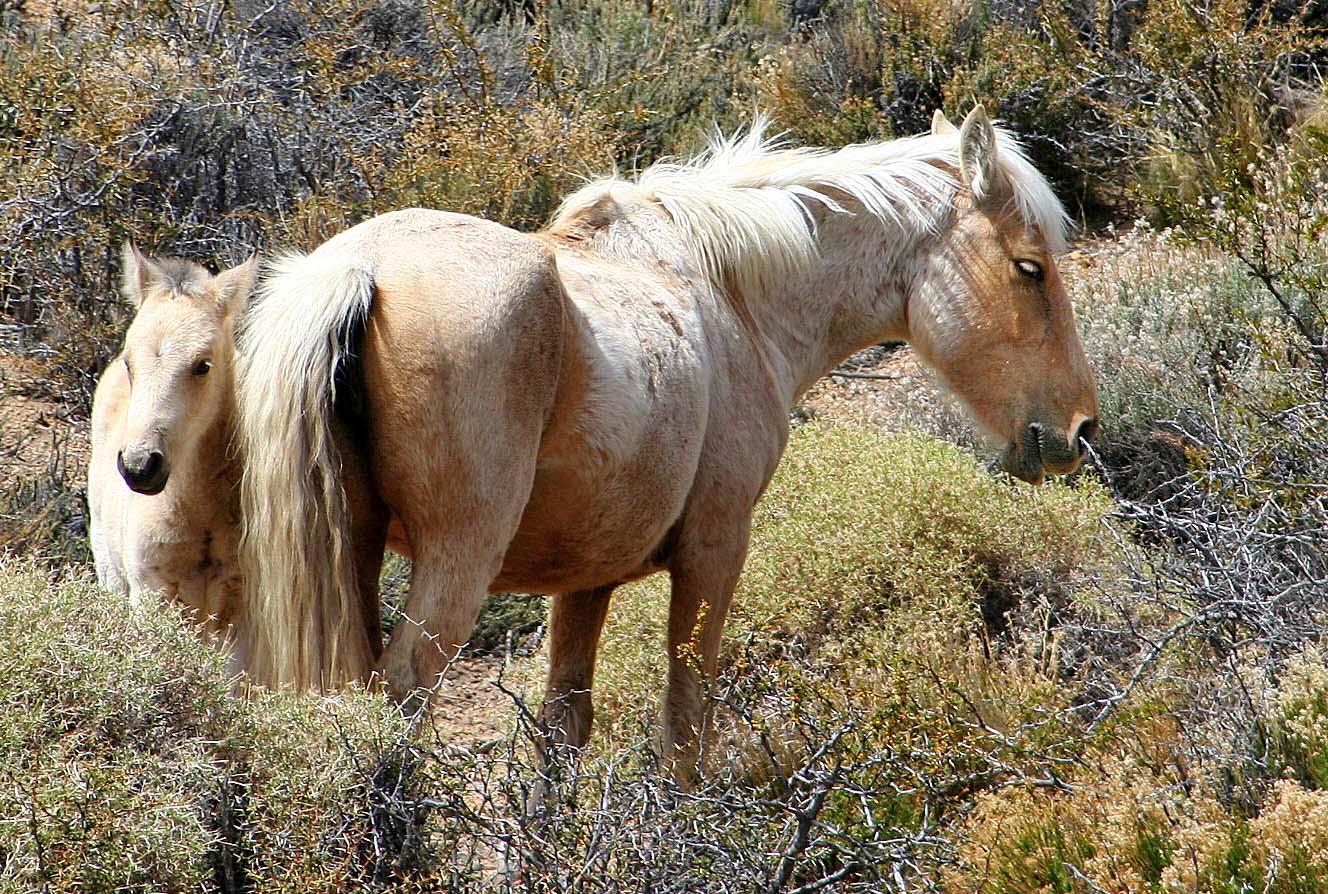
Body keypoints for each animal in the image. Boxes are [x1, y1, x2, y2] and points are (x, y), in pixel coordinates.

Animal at [89, 242, 258, 666]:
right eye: (129, 362)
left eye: (203, 365)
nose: (140, 466)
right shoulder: (150, 588)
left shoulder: (241, 601)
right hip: (110, 573)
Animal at [234, 106, 1099, 772]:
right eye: (1029, 267)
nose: (1079, 430)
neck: (731, 295)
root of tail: (357, 270)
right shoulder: (715, 548)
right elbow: (686, 726)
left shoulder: (585, 581)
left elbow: (563, 731)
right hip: (458, 559)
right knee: (401, 695)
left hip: (350, 552)